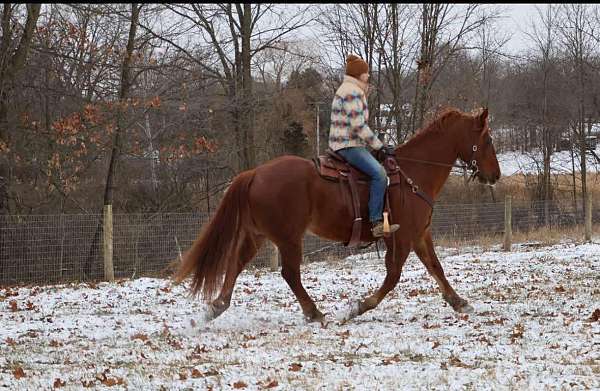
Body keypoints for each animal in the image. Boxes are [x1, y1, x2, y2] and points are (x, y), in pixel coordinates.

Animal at [175, 107, 502, 322]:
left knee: (236, 264)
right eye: (487, 141)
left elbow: (436, 268)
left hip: (258, 235)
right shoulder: (403, 239)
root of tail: (255, 173)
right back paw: (314, 312)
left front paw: (459, 302)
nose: (496, 175)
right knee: (289, 273)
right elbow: (393, 277)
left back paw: (217, 306)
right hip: (289, 238)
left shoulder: (420, 235)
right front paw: (357, 307)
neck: (414, 172)